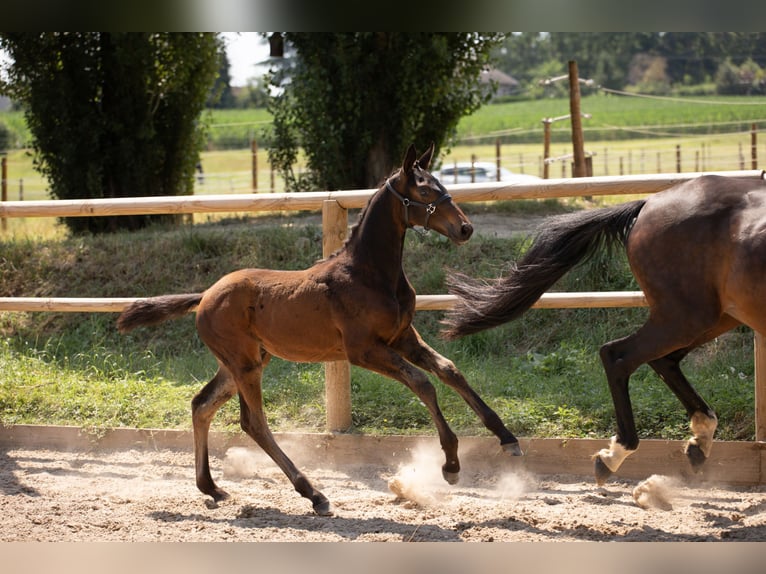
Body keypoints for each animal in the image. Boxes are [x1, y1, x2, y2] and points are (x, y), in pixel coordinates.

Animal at [117, 144, 521, 516]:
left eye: (441, 184)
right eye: (423, 191)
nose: (465, 228)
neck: (369, 274)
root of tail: (204, 296)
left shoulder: (404, 338)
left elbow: (450, 371)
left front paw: (507, 438)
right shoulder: (364, 350)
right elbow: (423, 383)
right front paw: (451, 463)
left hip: (244, 362)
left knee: (202, 406)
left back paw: (212, 488)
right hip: (244, 364)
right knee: (255, 422)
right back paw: (314, 494)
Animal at [441, 174, 766, 484]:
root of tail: (648, 204)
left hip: (715, 317)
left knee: (661, 360)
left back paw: (697, 442)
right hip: (686, 317)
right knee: (619, 355)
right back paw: (615, 455)